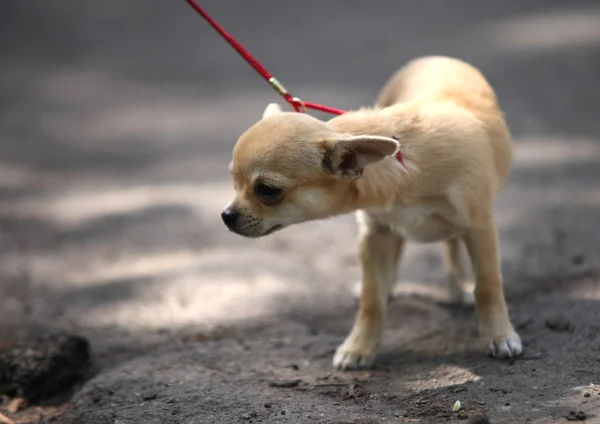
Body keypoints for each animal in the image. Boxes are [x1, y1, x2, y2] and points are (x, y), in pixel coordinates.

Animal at [223, 55, 524, 368]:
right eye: (233, 181)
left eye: (268, 190)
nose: (226, 215)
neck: (405, 166)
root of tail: (436, 58)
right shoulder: (374, 234)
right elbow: (372, 301)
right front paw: (359, 348)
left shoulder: (480, 228)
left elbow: (488, 286)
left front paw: (500, 335)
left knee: (452, 242)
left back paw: (458, 286)